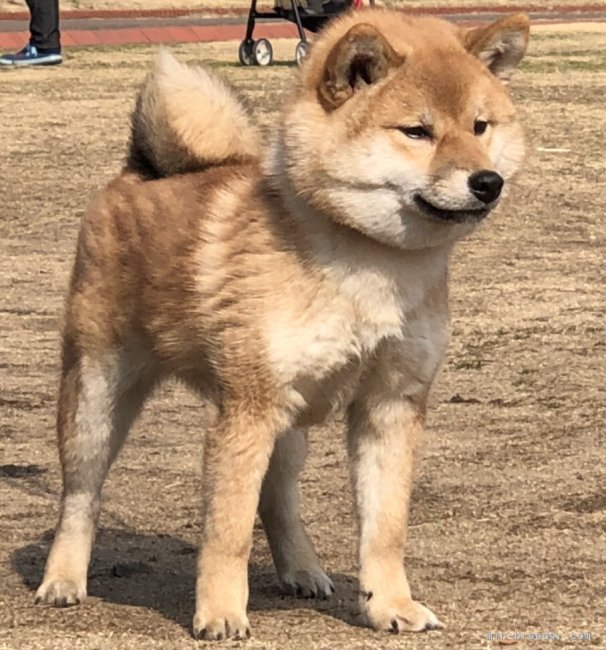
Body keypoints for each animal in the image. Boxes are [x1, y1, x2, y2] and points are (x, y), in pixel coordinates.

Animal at [35, 8, 532, 636]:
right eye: (416, 132)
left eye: (480, 126)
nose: (487, 181)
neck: (368, 262)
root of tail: (140, 171)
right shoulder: (246, 409)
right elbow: (227, 530)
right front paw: (221, 612)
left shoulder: (390, 405)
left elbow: (385, 528)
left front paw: (391, 605)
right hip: (98, 396)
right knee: (81, 496)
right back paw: (63, 579)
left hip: (289, 424)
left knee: (278, 500)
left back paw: (301, 569)